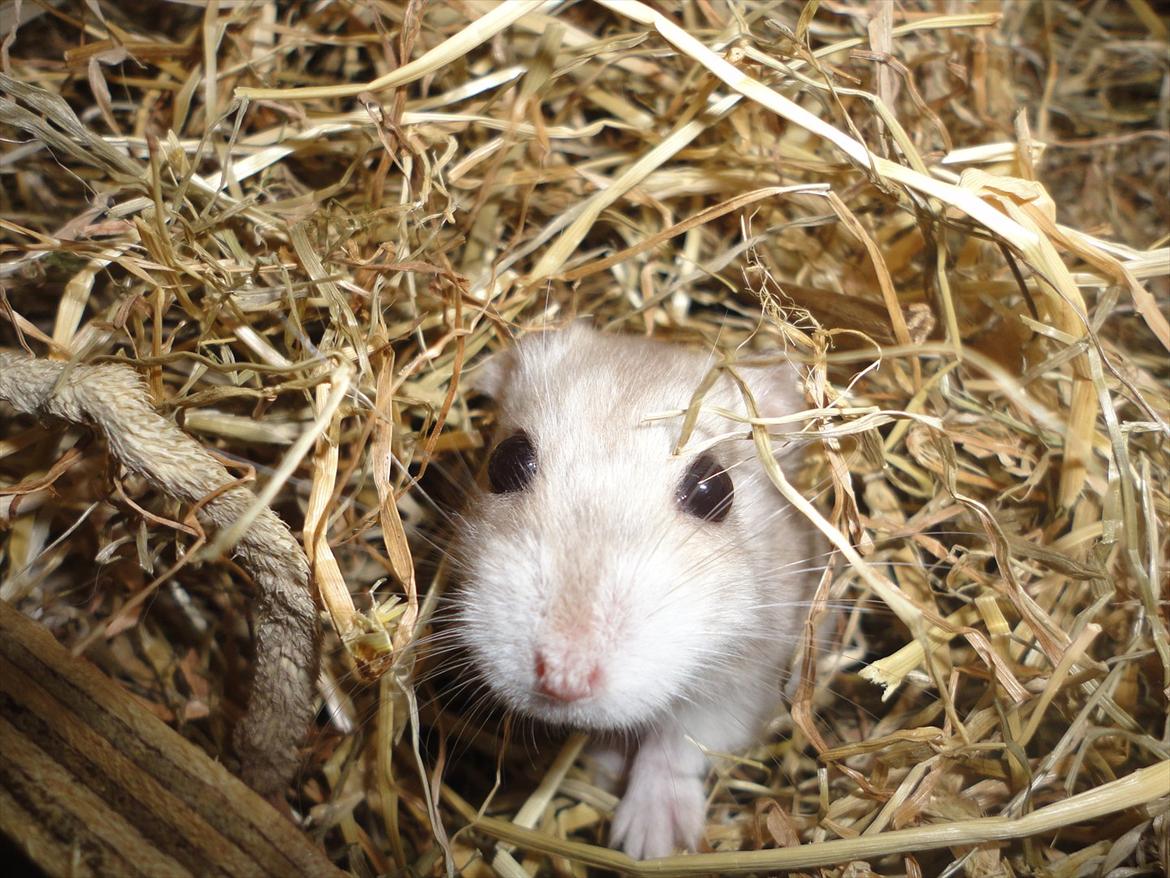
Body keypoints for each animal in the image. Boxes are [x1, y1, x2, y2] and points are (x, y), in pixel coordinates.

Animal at [453, 324, 818, 859]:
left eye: (714, 489)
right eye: (505, 460)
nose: (563, 680)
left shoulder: (751, 677)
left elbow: (680, 736)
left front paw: (650, 845)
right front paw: (607, 766)